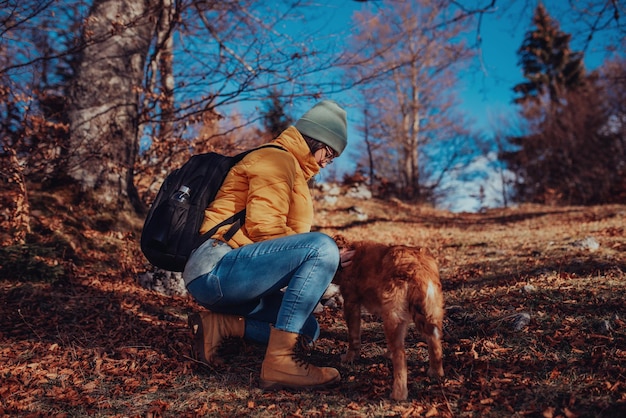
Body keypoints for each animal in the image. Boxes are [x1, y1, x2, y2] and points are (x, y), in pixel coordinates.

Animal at [332, 235, 444, 402]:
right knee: (434, 343)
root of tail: (418, 268)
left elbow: (353, 337)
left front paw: (350, 357)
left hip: (391, 317)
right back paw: (436, 372)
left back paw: (398, 394)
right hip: (430, 313)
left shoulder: (351, 303)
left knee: (401, 356)